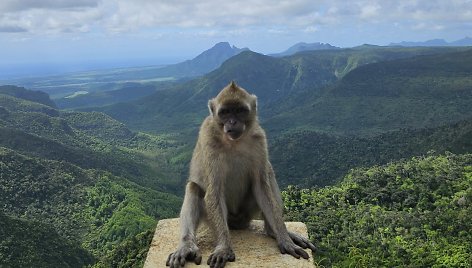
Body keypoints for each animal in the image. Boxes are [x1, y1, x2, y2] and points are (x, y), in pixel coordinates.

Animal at [167, 81, 318, 268]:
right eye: (225, 112)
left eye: (239, 110)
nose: (232, 122)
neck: (234, 142)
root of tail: (236, 222)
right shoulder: (209, 139)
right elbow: (214, 192)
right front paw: (224, 248)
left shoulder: (259, 139)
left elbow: (261, 186)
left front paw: (285, 239)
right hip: (215, 218)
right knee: (193, 187)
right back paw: (186, 246)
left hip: (247, 212)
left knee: (267, 170)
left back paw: (272, 231)